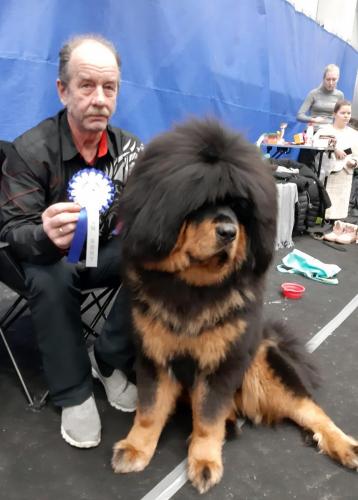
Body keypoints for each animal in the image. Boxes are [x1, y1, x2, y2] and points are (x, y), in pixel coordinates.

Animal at [112, 119, 358, 494]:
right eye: (201, 203)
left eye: (241, 209)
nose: (228, 231)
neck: (195, 287)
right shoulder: (155, 355)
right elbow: (150, 410)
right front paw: (137, 448)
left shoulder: (221, 362)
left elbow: (208, 416)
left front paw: (204, 461)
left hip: (264, 370)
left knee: (311, 410)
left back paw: (344, 445)